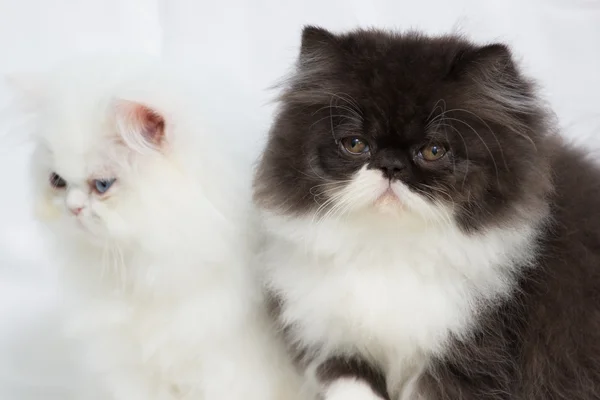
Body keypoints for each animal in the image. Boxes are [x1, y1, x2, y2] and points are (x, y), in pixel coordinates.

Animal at [252, 26, 600, 398]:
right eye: (355, 144)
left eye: (434, 150)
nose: (390, 165)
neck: (389, 251)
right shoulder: (331, 342)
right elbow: (351, 384)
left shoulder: (473, 357)